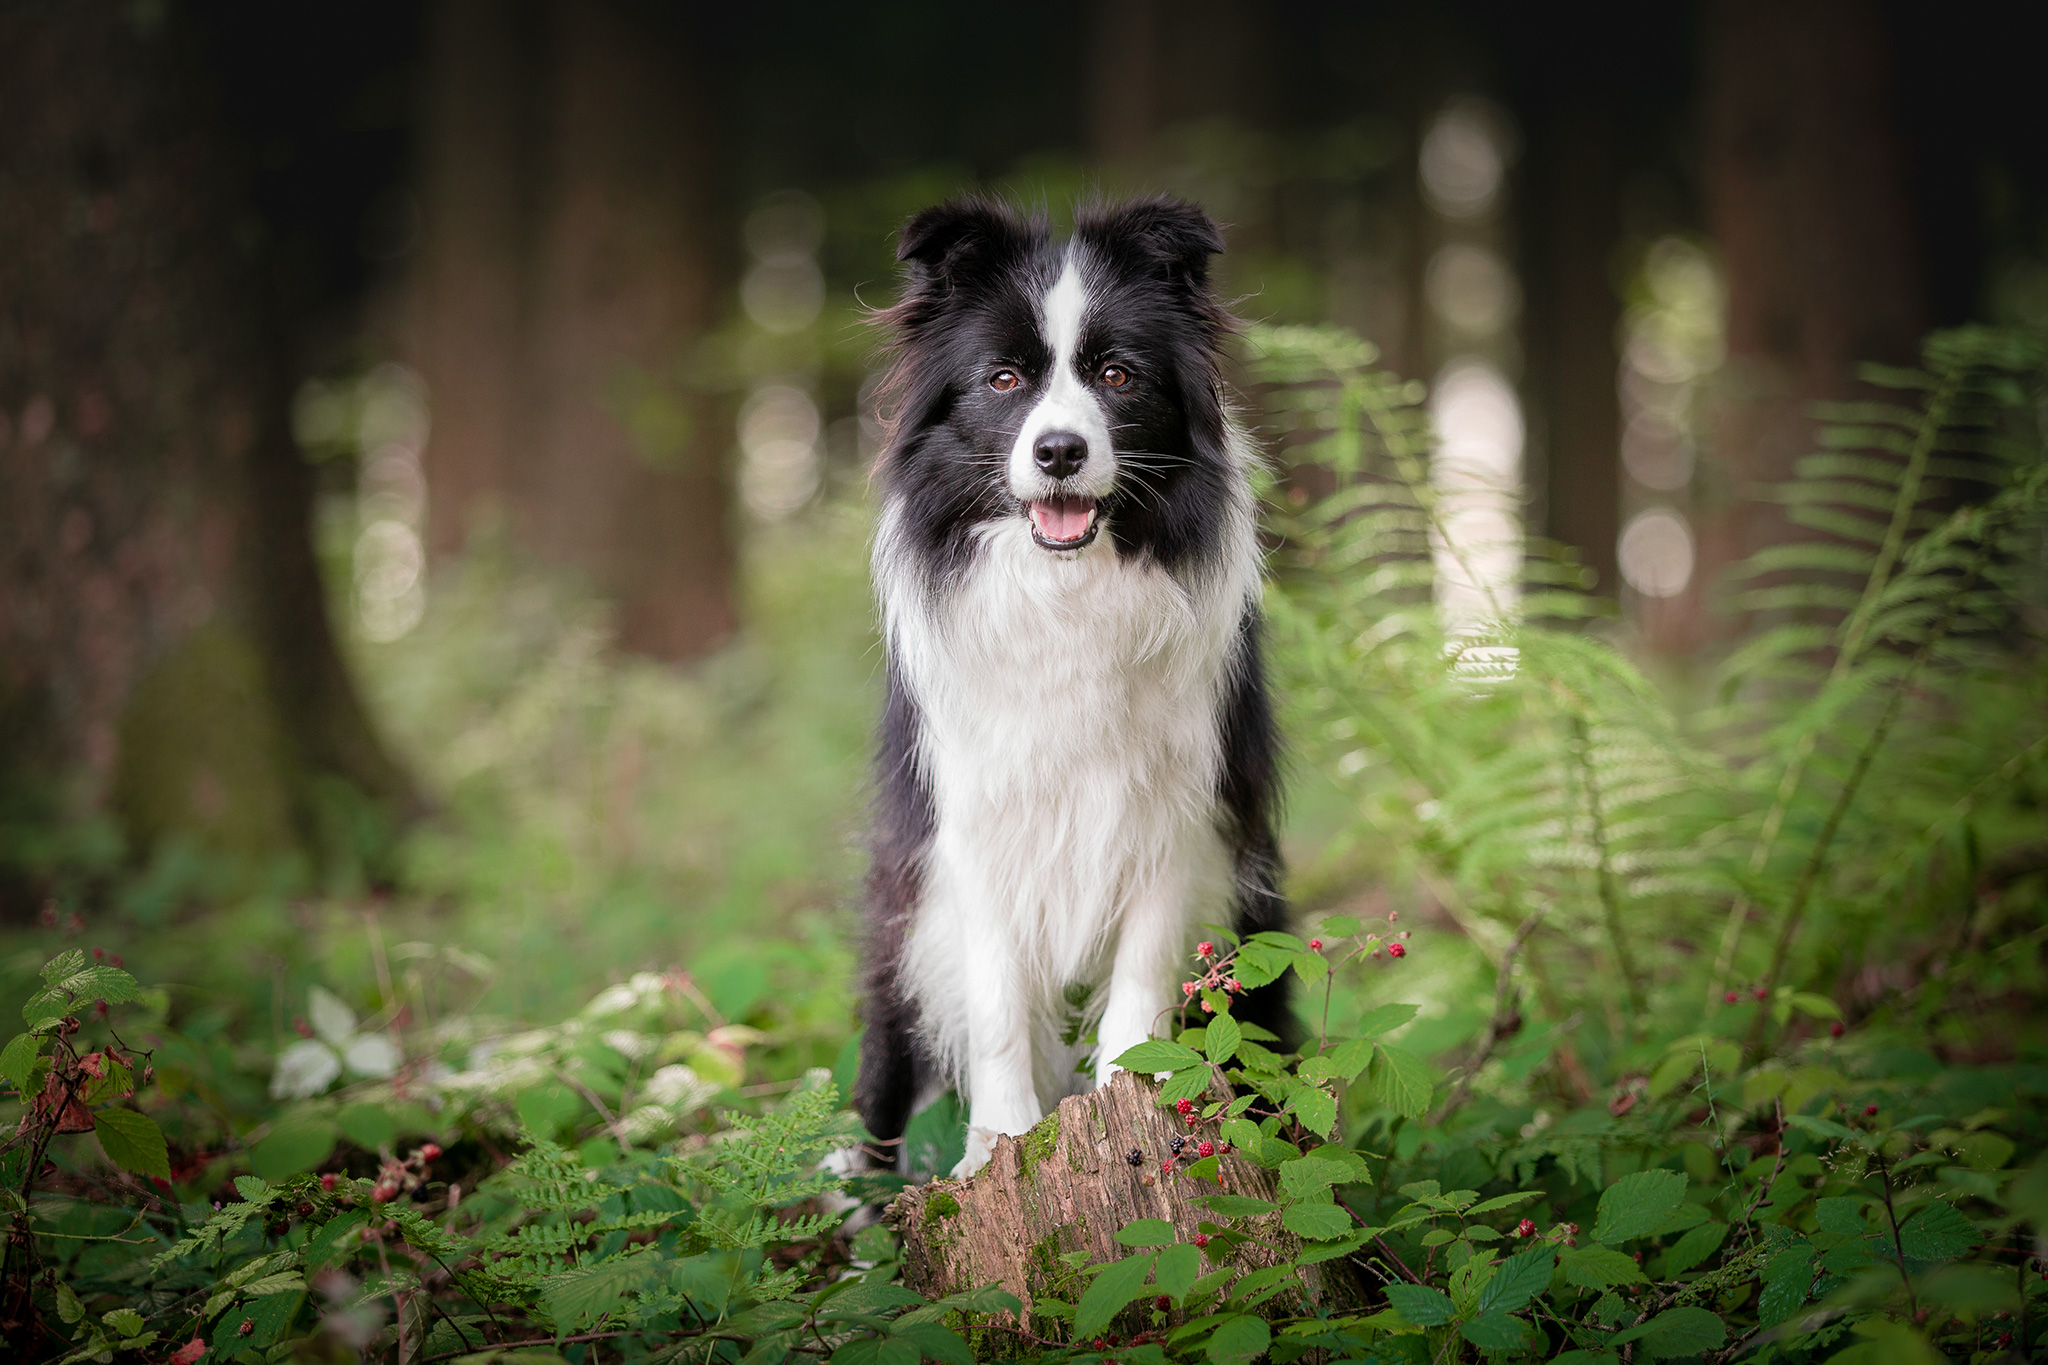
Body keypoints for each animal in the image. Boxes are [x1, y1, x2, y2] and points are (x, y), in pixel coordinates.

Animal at [856, 197, 1286, 1178]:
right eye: (1004, 378)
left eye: (1118, 375)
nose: (1058, 451)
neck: (1068, 591)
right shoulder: (975, 824)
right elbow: (998, 1006)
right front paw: (999, 1145)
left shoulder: (1177, 816)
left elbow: (1142, 980)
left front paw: (1143, 1099)